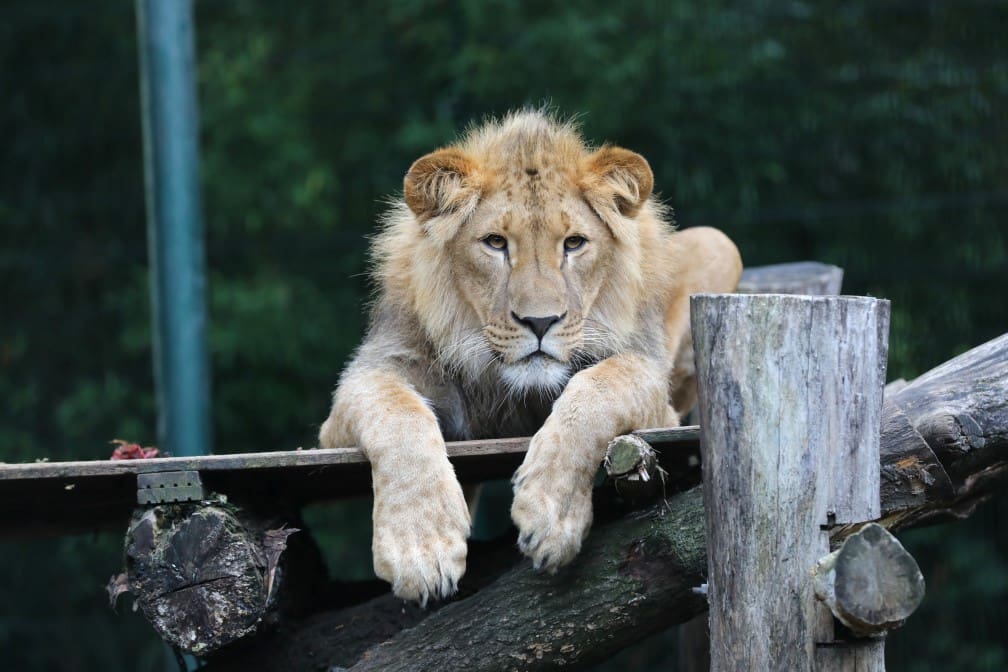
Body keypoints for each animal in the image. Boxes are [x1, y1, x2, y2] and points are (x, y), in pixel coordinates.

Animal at [318, 110, 745, 604]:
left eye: (574, 244)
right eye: (496, 243)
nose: (540, 322)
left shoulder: (656, 394)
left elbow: (601, 387)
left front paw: (549, 510)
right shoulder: (360, 391)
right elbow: (397, 415)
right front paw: (421, 547)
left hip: (718, 242)